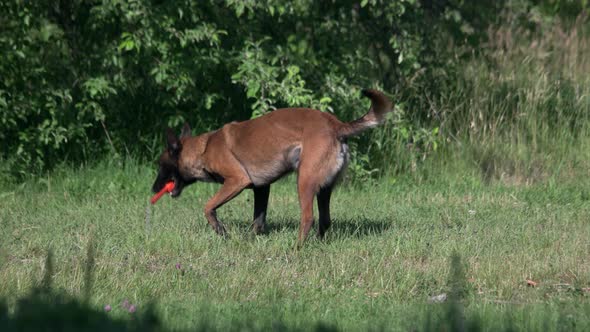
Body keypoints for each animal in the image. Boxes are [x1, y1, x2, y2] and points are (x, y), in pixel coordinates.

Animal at [153, 88, 394, 246]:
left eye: (160, 166)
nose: (152, 189)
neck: (204, 148)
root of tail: (336, 125)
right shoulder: (262, 188)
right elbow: (258, 220)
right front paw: (250, 241)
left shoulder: (237, 180)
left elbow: (208, 206)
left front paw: (221, 231)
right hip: (324, 188)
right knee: (325, 220)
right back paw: (317, 244)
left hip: (304, 181)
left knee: (308, 218)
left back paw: (296, 249)